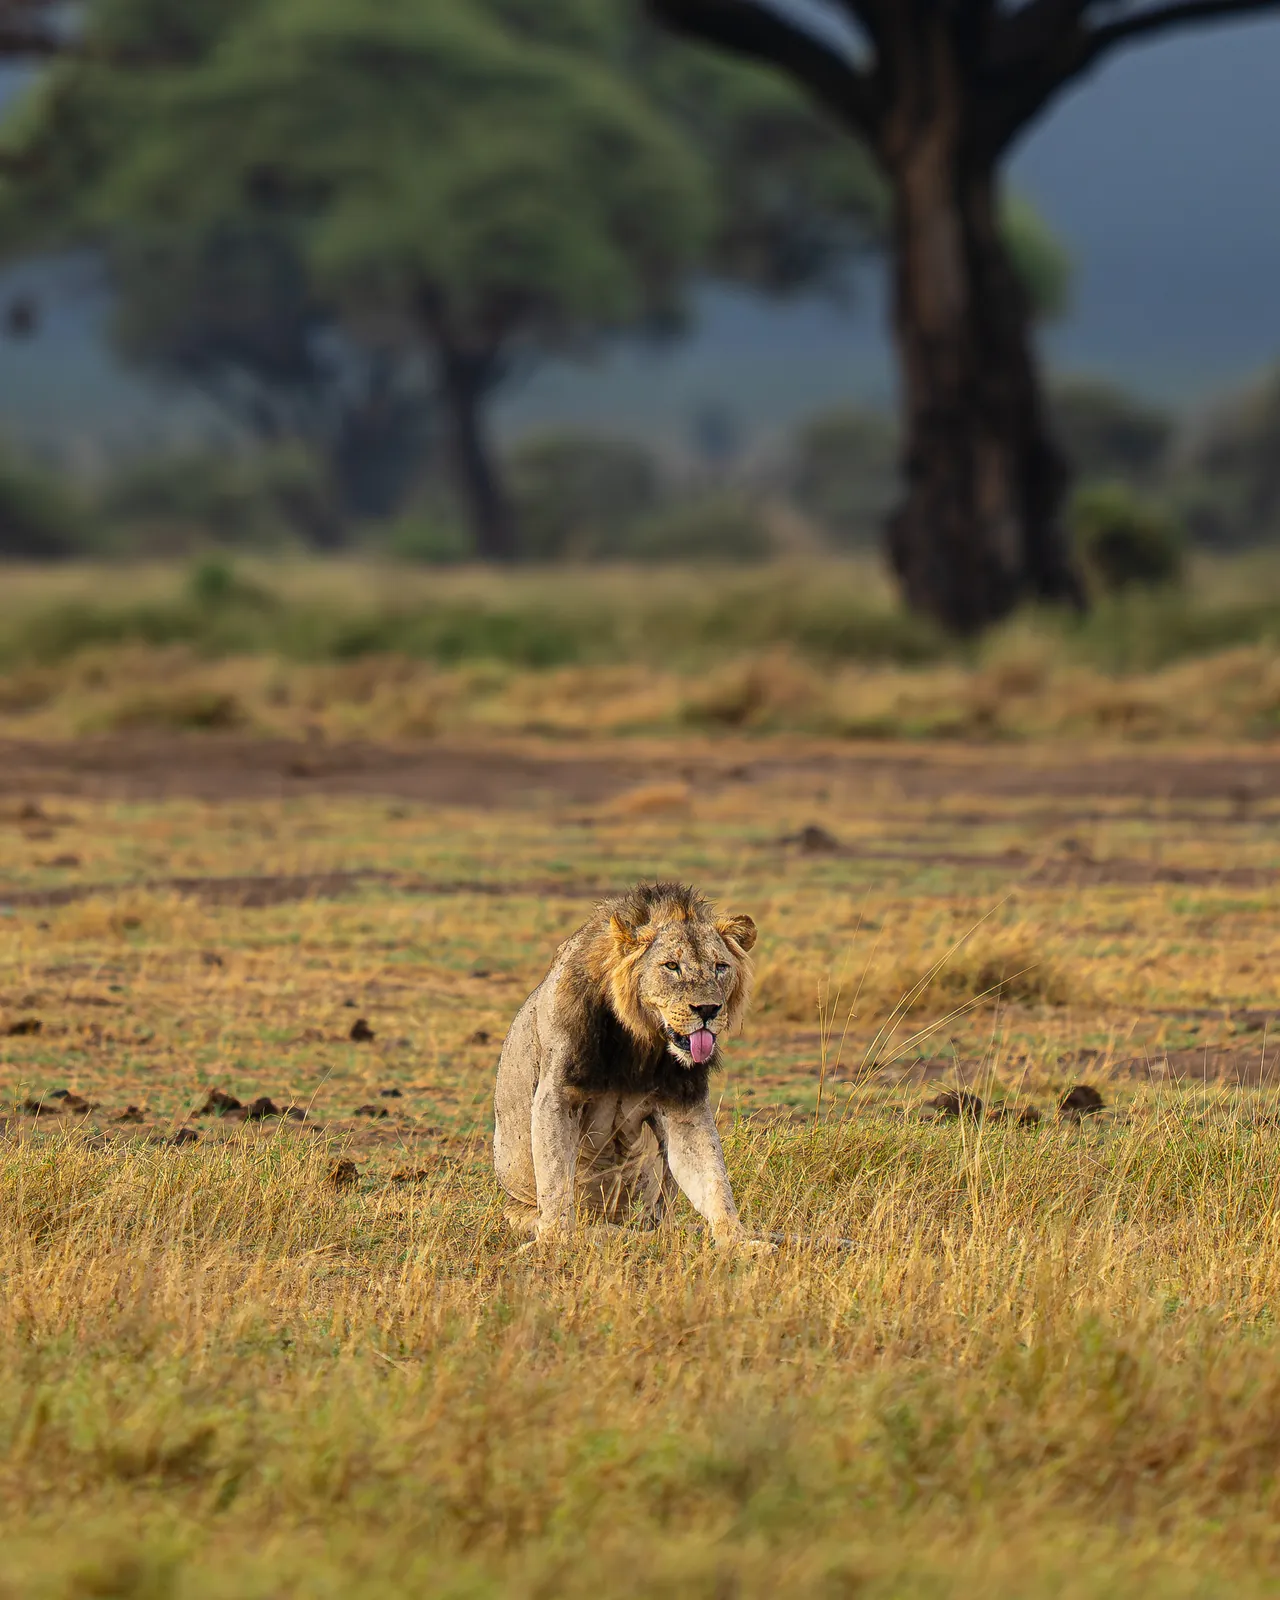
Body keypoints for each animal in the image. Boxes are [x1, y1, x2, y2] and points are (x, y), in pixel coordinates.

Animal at [492, 881, 769, 1249]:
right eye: (671, 966)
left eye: (720, 967)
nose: (708, 1009)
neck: (641, 1040)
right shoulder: (557, 1094)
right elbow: (554, 1177)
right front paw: (555, 1241)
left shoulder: (684, 1104)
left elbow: (713, 1177)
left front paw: (739, 1243)